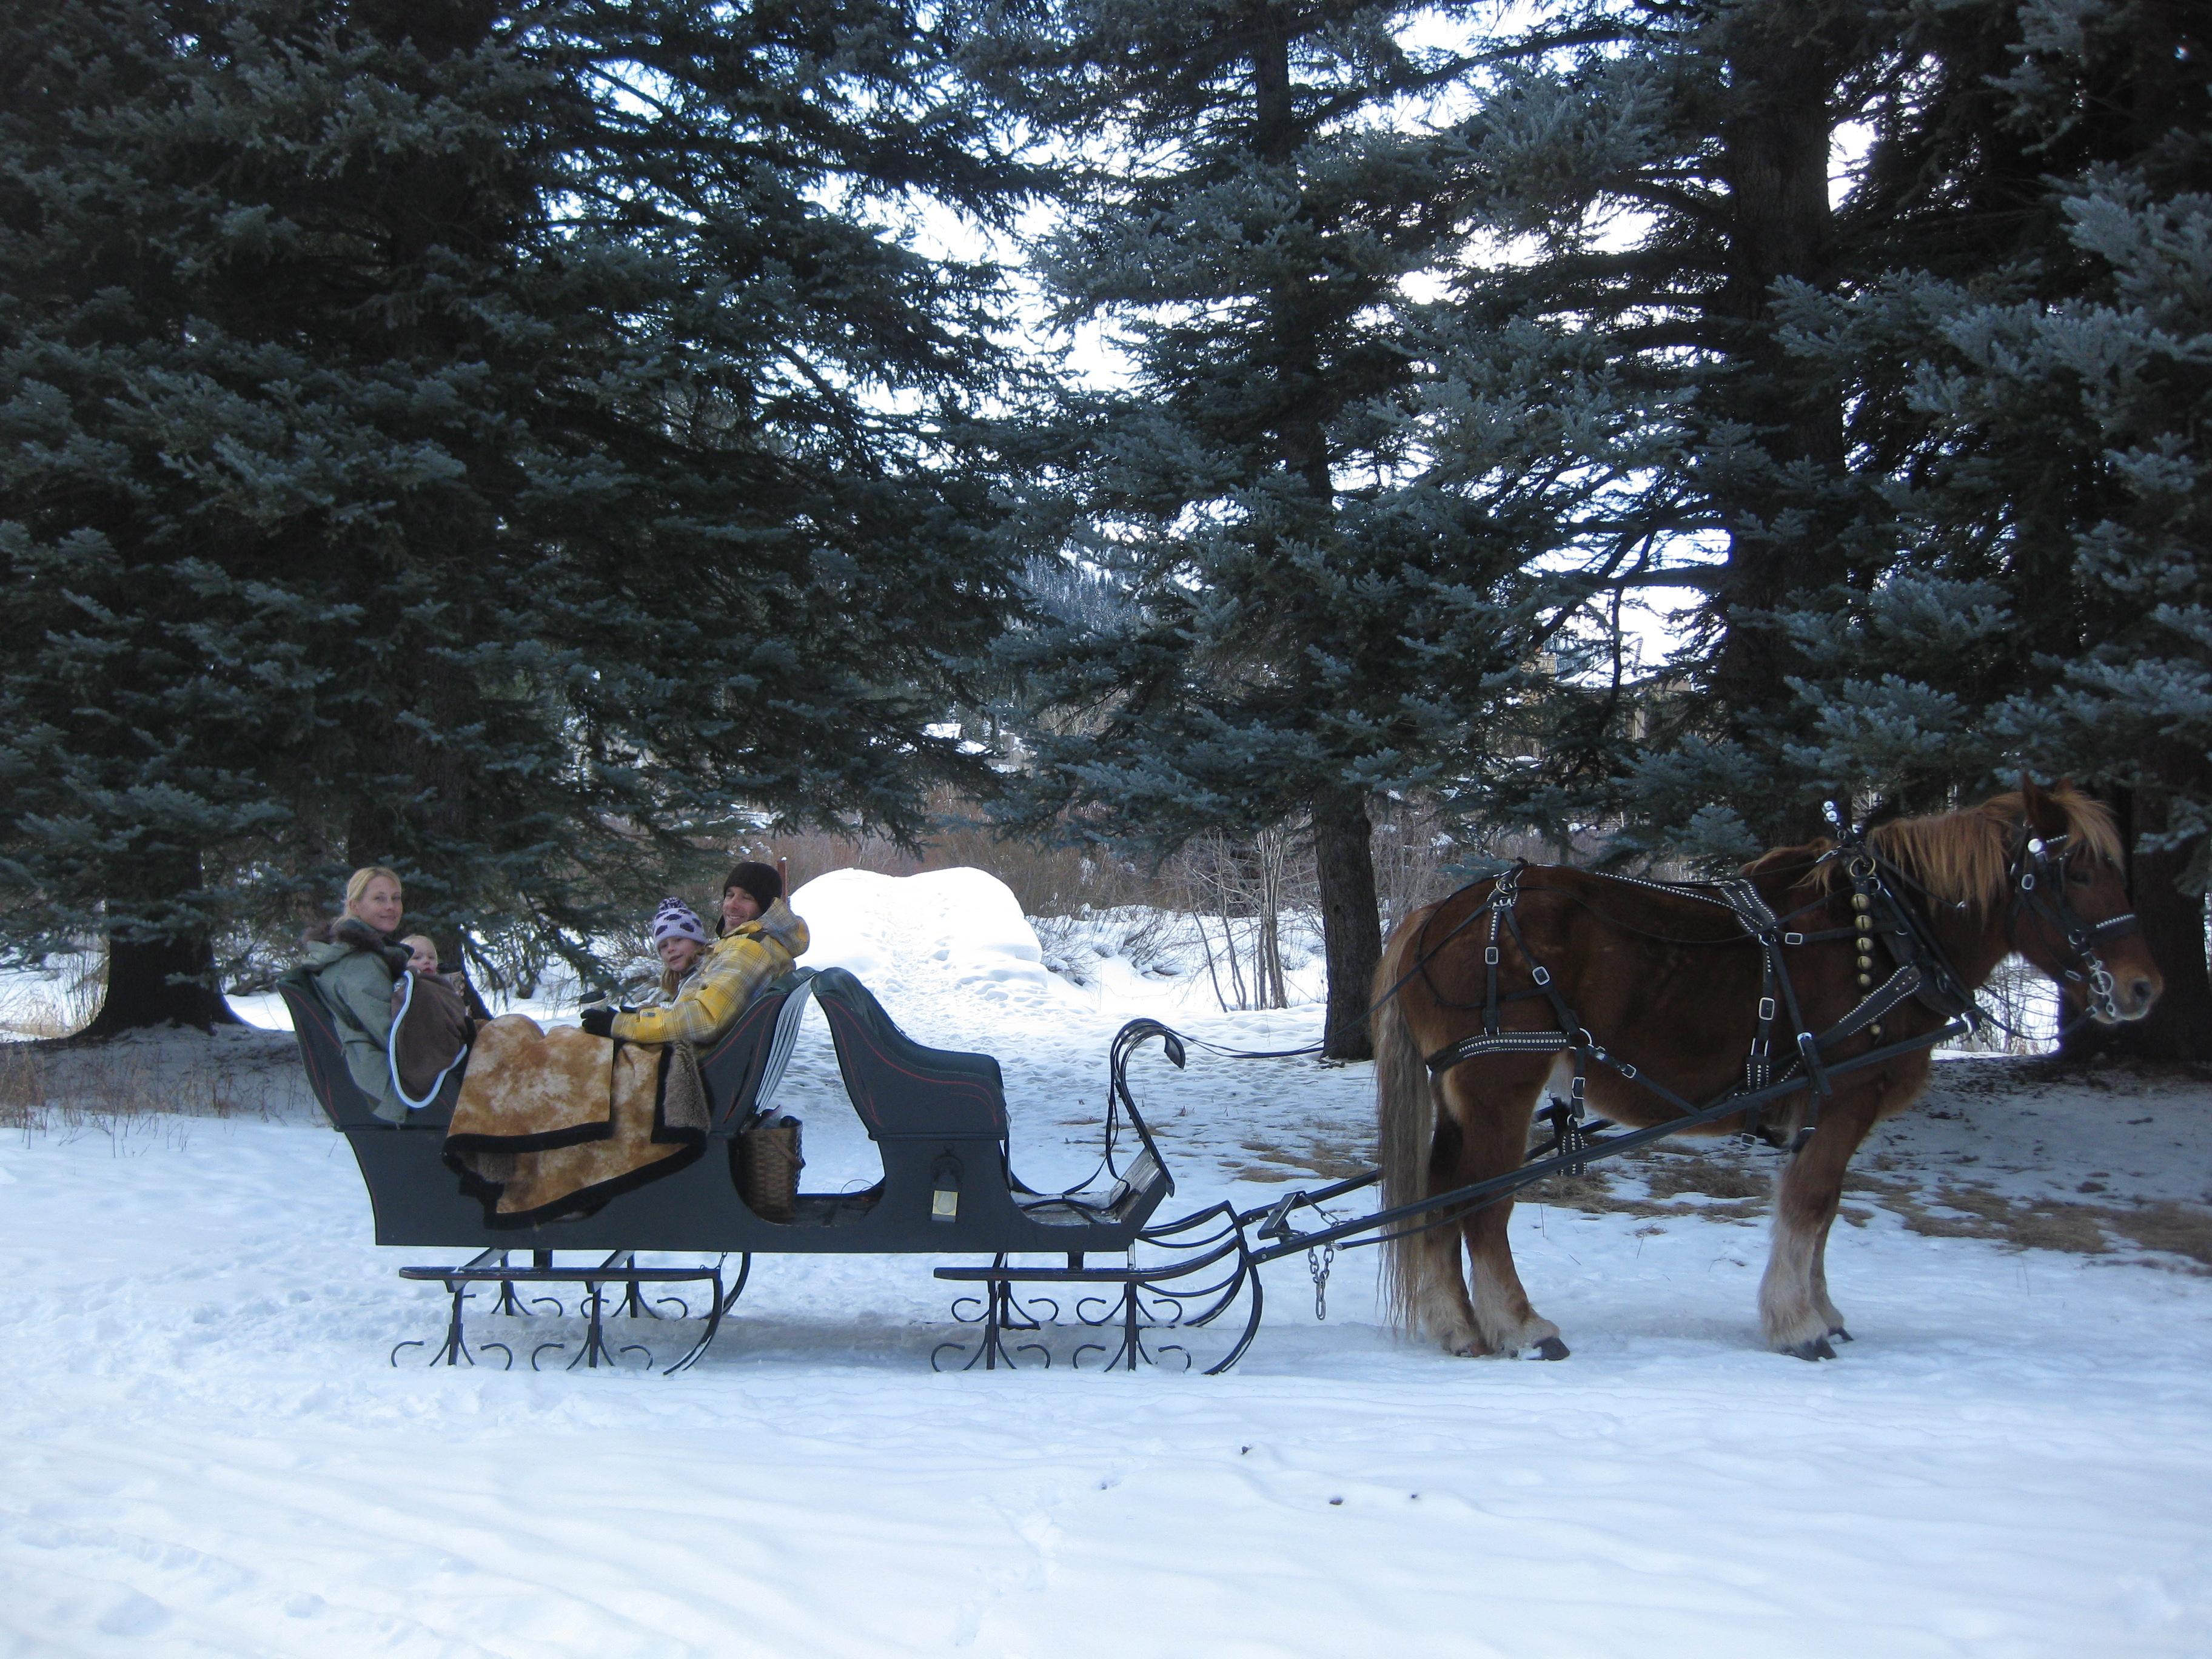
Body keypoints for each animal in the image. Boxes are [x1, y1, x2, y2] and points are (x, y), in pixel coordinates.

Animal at [1371, 783, 2168, 1362]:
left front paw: (1822, 1310)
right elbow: (1811, 1206)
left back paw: (1459, 1327)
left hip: (1463, 1097)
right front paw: (1800, 1327)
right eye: (2079, 873)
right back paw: (1520, 1326)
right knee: (1482, 1207)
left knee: (1439, 1204)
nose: (2144, 988)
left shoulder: (1821, 1111)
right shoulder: (1846, 1097)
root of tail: (1439, 913)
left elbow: (1820, 1210)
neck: (1887, 932)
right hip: (1501, 1088)